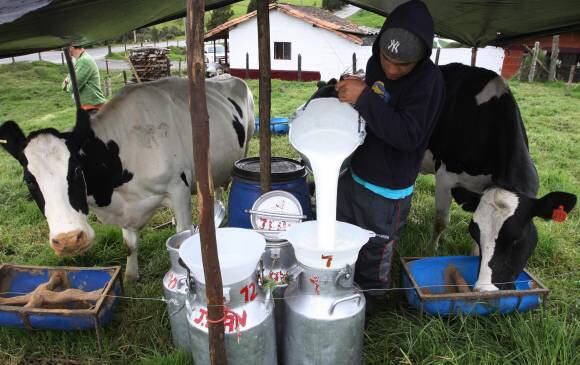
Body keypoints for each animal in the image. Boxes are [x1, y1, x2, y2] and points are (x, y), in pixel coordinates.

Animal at [0, 76, 254, 282]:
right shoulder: (125, 207)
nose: (69, 240)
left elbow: (183, 232)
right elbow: (129, 245)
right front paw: (131, 276)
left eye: (76, 171)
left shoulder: (177, 189)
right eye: (30, 181)